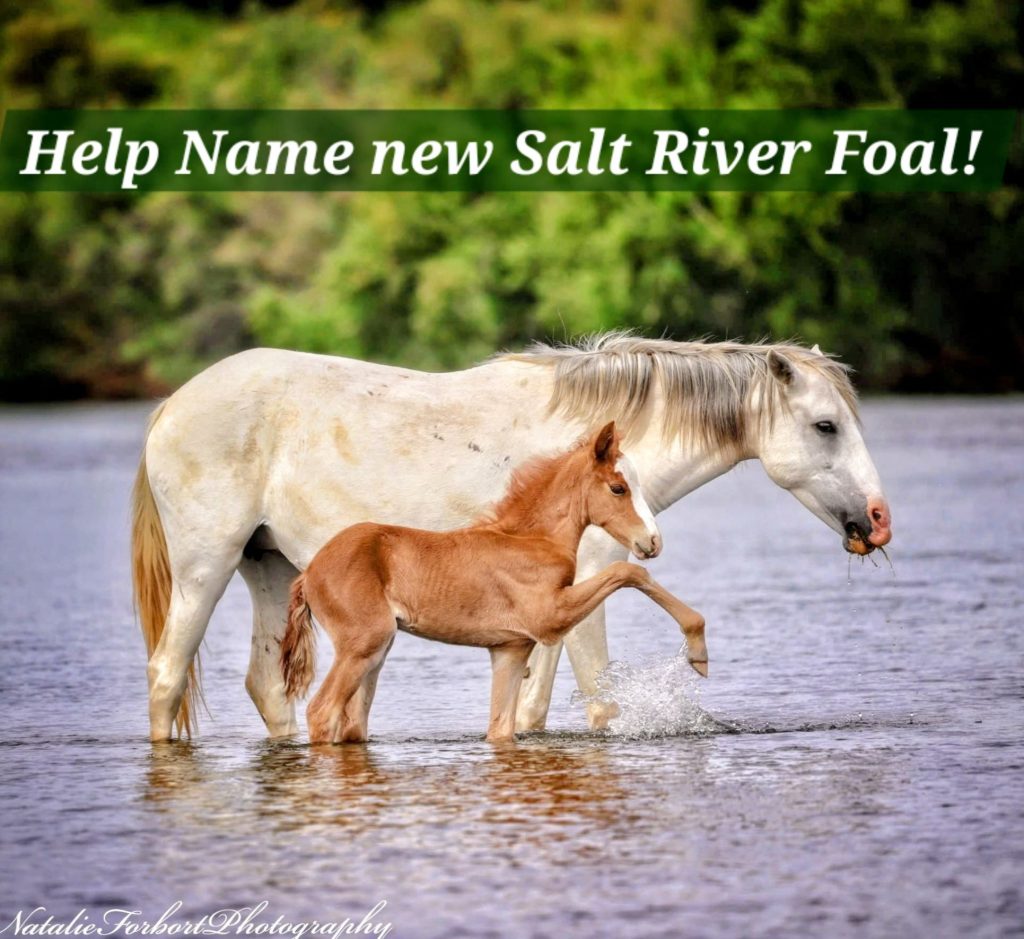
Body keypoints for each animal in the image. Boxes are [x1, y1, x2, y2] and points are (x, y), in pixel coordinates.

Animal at [279, 422, 708, 743]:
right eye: (618, 488)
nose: (652, 541)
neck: (532, 538)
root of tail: (309, 573)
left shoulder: (510, 648)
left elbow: (500, 729)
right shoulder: (547, 617)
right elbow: (629, 573)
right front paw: (698, 649)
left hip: (376, 653)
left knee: (352, 725)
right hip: (363, 644)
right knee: (321, 711)